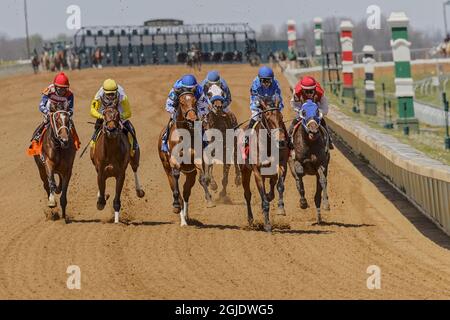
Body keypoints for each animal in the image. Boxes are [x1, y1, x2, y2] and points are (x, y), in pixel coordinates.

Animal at [158, 90, 214, 226]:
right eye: (182, 102)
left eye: (194, 101)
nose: (192, 119)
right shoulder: (175, 163)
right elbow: (176, 184)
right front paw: (176, 206)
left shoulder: (197, 159)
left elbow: (202, 178)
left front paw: (209, 200)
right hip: (166, 168)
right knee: (175, 188)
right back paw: (181, 216)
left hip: (190, 173)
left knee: (186, 192)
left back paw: (186, 217)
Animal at [241, 97, 290, 232]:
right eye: (267, 118)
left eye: (281, 117)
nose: (281, 141)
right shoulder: (257, 171)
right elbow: (263, 199)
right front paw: (267, 225)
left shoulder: (282, 165)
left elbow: (280, 186)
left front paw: (281, 208)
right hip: (244, 171)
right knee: (247, 194)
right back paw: (250, 219)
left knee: (272, 185)